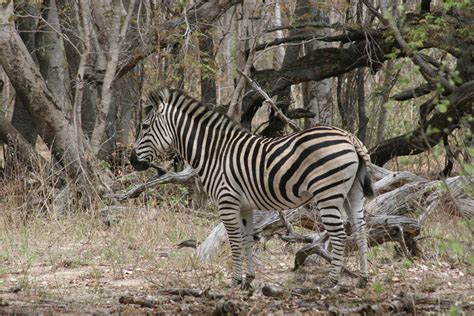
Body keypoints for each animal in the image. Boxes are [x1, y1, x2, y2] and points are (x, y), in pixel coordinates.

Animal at [130, 87, 374, 290]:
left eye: (145, 127)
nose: (132, 161)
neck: (215, 153)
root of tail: (349, 136)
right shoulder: (245, 206)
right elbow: (248, 240)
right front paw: (249, 280)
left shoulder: (227, 202)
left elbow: (235, 242)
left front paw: (236, 281)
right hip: (352, 193)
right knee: (361, 229)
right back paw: (363, 279)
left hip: (328, 193)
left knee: (340, 235)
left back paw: (331, 282)